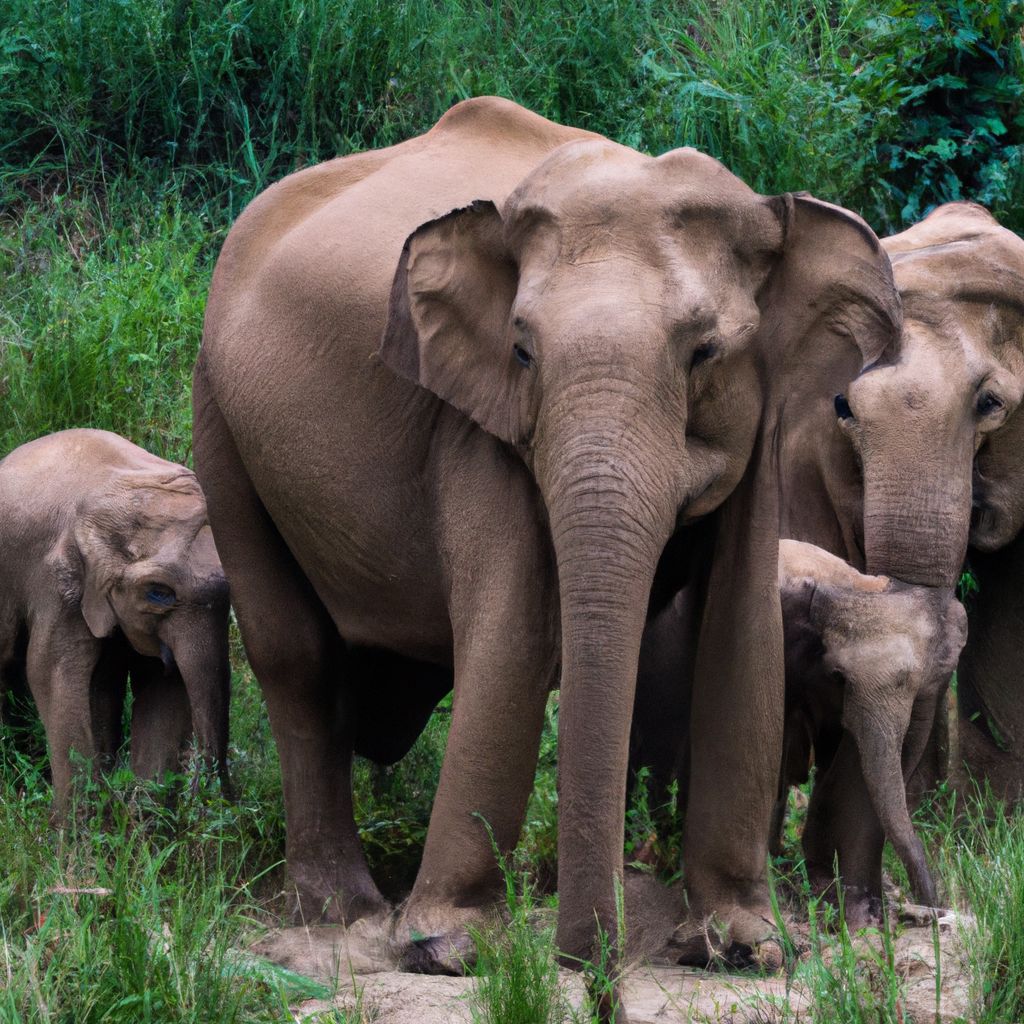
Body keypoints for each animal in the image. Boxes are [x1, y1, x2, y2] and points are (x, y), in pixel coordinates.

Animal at [0, 430, 232, 815]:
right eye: (158, 592)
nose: (210, 799)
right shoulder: (59, 585)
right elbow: (52, 675)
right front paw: (77, 828)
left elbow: (164, 686)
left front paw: (145, 821)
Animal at [190, 96, 897, 983]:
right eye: (523, 351)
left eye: (704, 352)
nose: (588, 960)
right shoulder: (474, 425)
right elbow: (515, 629)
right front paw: (445, 949)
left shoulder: (763, 424)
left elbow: (742, 637)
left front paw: (748, 946)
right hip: (219, 413)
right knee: (295, 655)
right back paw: (344, 915)